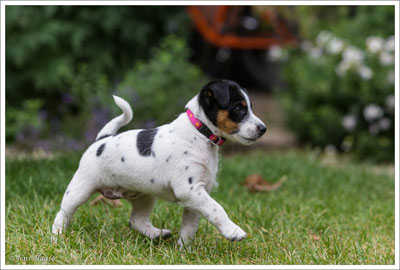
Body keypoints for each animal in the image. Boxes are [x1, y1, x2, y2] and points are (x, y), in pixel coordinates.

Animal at [52, 79, 266, 246]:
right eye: (238, 108)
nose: (263, 128)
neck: (199, 133)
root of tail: (101, 140)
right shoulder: (190, 190)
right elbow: (217, 209)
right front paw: (233, 231)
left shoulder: (197, 195)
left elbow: (190, 226)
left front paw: (183, 251)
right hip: (80, 189)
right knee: (62, 214)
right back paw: (57, 239)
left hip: (144, 195)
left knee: (136, 220)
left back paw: (157, 234)